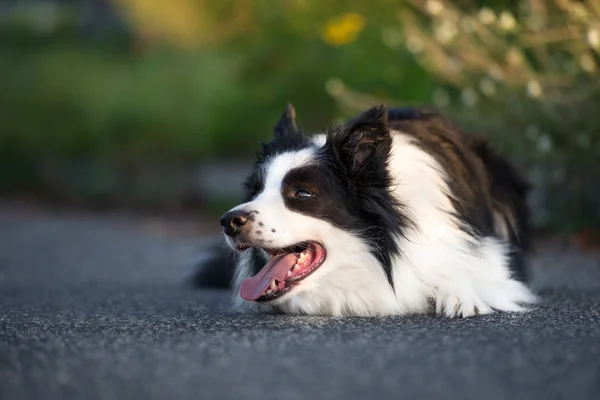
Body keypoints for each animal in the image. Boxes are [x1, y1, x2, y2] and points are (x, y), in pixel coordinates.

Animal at [205, 104, 536, 318]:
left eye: (302, 193)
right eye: (256, 191)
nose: (228, 222)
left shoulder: (487, 251)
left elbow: (472, 269)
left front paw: (460, 294)